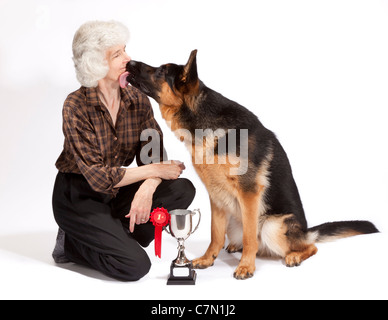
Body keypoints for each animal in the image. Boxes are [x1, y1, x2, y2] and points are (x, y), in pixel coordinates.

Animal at [122, 50, 378, 280]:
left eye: (160, 71)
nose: (129, 62)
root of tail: (306, 231)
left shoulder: (249, 193)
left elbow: (249, 238)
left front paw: (246, 266)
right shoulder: (216, 196)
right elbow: (215, 233)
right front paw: (207, 259)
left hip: (272, 226)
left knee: (307, 246)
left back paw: (292, 255)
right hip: (235, 219)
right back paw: (235, 247)